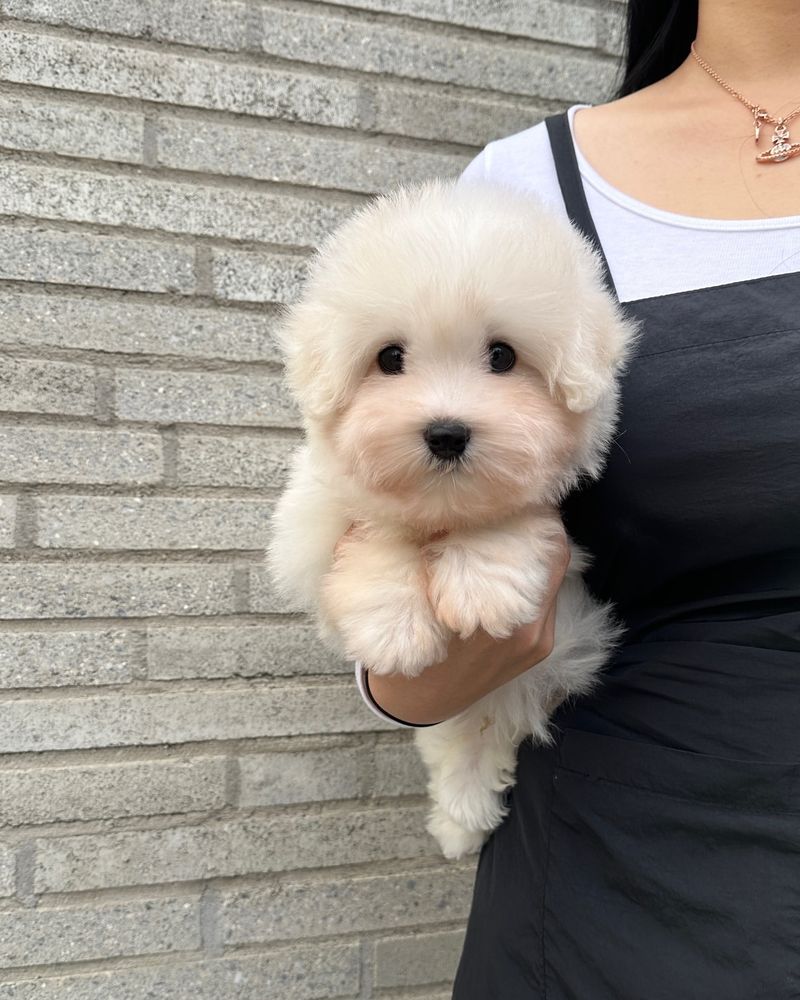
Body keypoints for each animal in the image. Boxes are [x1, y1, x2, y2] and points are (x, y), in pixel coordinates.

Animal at [272, 176, 640, 856]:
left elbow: (506, 514)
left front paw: (481, 588)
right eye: (389, 358)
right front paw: (393, 629)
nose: (446, 433)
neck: (440, 505)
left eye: (502, 356)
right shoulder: (307, 525)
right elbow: (377, 534)